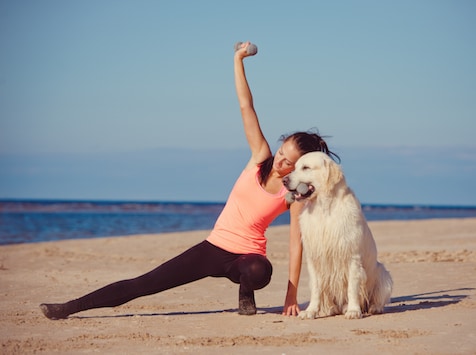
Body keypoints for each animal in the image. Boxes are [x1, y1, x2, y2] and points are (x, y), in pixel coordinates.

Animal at [284, 152, 392, 320]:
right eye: (294, 167)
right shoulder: (313, 258)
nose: (284, 180)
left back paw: (373, 308)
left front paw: (353, 310)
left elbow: (352, 288)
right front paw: (310, 311)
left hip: (383, 275)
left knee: (376, 298)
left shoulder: (352, 257)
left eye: (306, 167)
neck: (323, 208)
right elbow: (316, 289)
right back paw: (330, 309)